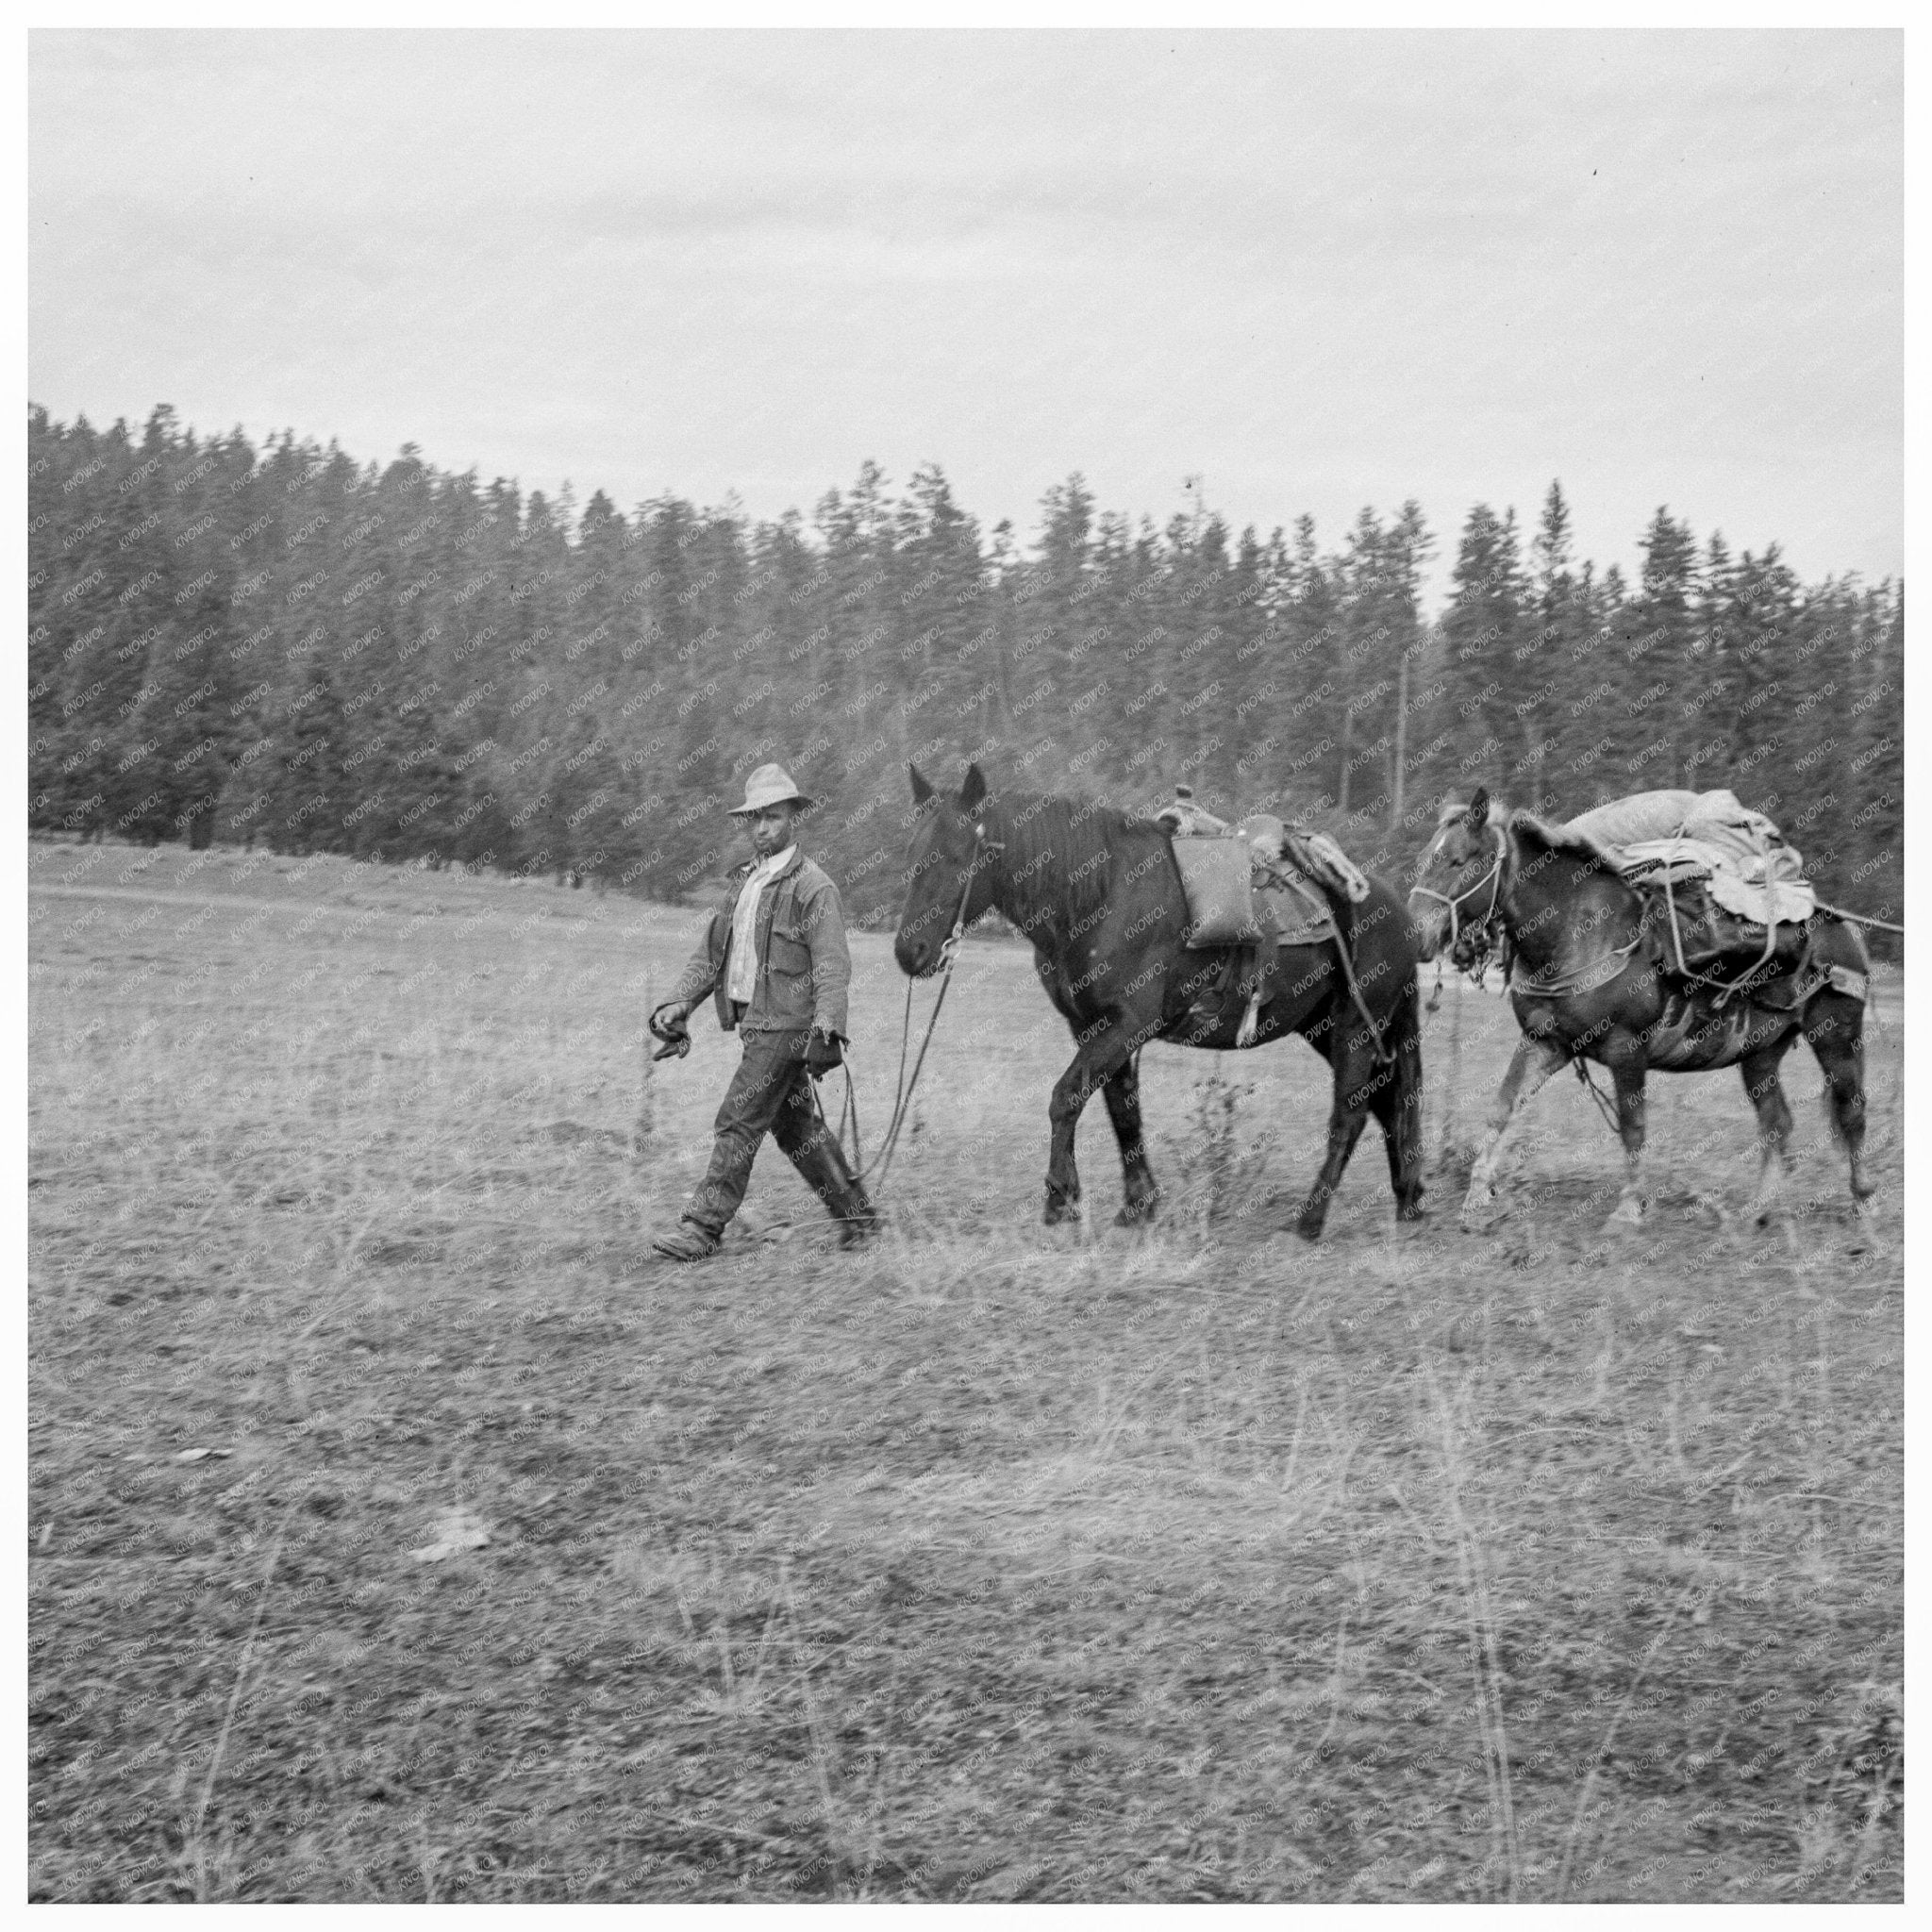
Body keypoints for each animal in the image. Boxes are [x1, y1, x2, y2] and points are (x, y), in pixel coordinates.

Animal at [884, 757, 1422, 1236]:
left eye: (957, 857)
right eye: (911, 853)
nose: (911, 951)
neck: (1103, 896)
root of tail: (1397, 909)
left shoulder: (1127, 1024)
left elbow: (1066, 1097)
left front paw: (1061, 1200)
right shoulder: (1094, 1027)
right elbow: (1122, 1112)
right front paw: (1137, 1207)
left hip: (1356, 1025)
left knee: (1349, 1114)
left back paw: (1310, 1220)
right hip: (1324, 1027)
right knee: (1387, 1104)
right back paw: (1407, 1199)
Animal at [1406, 788, 1870, 1228]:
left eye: (1458, 860)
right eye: (1427, 857)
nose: (1416, 935)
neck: (1582, 934)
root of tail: (1843, 929)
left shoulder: (1626, 1050)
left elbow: (1633, 1128)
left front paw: (1628, 1210)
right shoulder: (1545, 1042)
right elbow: (1502, 1108)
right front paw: (1476, 1196)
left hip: (1835, 1036)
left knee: (1852, 1113)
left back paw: (1863, 1202)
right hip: (1760, 1053)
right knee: (1777, 1123)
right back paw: (1761, 1209)